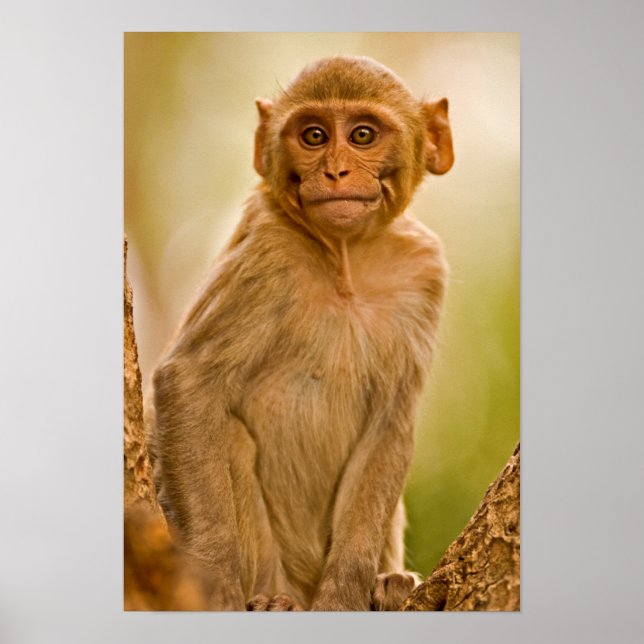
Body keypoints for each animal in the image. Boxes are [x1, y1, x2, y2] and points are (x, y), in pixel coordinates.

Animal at [146, 55, 454, 611]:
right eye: (313, 136)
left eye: (361, 135)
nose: (334, 171)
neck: (345, 260)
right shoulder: (267, 255)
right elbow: (189, 381)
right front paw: (216, 580)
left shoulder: (425, 271)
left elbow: (389, 424)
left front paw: (346, 595)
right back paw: (272, 599)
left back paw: (389, 584)